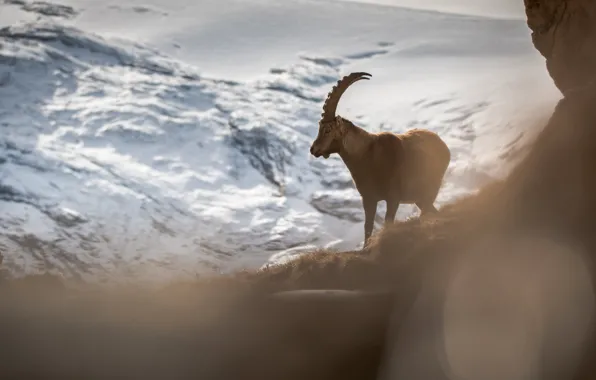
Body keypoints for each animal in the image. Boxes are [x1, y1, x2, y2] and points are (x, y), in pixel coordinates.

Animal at [310, 72, 450, 248]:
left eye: (327, 129)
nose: (313, 149)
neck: (368, 157)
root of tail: (444, 146)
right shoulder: (368, 199)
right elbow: (367, 226)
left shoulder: (393, 198)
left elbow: (387, 223)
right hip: (420, 197)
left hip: (431, 189)